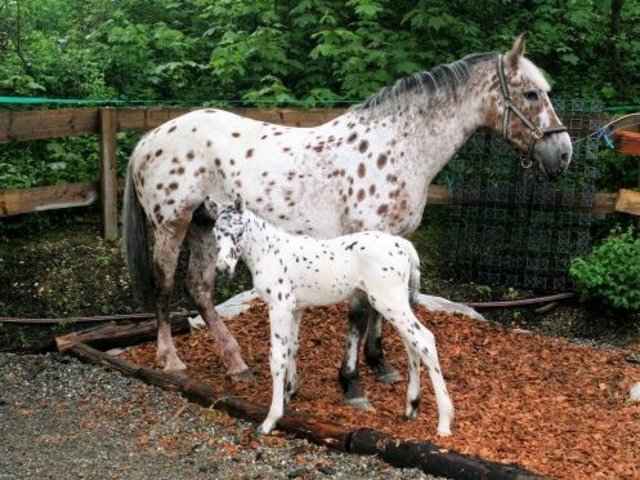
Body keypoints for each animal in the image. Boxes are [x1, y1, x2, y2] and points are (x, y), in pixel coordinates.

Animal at [124, 34, 568, 408]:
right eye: (530, 94)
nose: (563, 153)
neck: (398, 147)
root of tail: (148, 140)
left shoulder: (390, 243)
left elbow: (377, 310)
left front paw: (380, 365)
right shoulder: (366, 241)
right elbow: (358, 312)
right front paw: (352, 383)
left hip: (205, 226)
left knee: (199, 288)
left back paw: (236, 364)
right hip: (172, 225)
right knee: (165, 286)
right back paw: (171, 359)